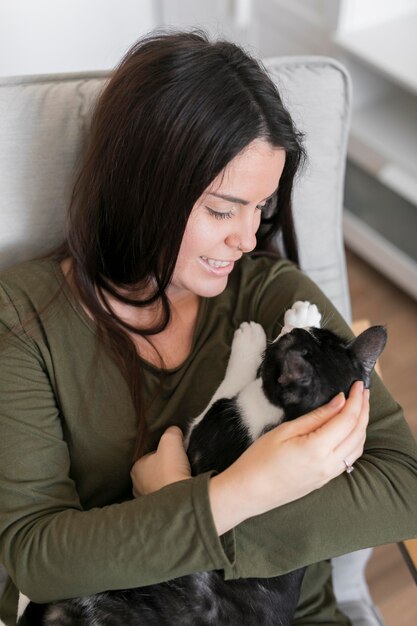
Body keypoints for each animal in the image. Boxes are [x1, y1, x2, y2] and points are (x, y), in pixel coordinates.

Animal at [17, 300, 386, 620]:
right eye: (308, 337)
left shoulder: (206, 430)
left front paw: (261, 332)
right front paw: (302, 315)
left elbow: (233, 382)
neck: (286, 417)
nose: (289, 332)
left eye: (283, 347)